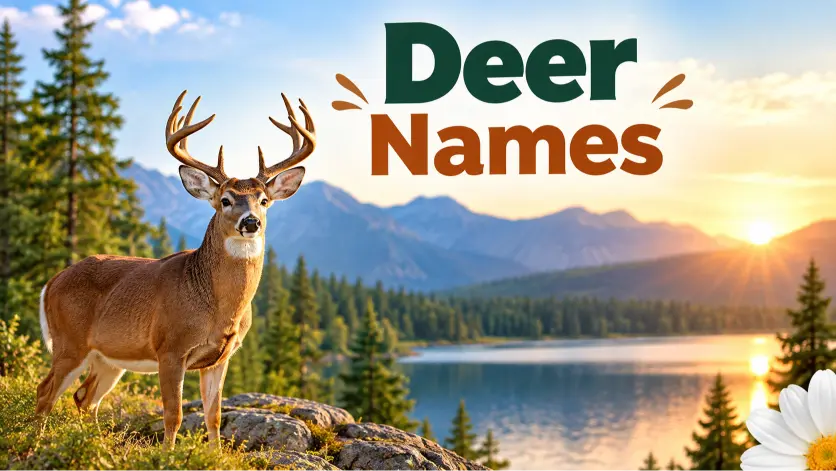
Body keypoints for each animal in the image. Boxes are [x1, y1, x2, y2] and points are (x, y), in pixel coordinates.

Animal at [34, 90, 316, 449]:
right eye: (225, 200)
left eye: (264, 200)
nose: (250, 221)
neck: (219, 309)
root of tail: (51, 283)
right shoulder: (170, 347)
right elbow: (174, 415)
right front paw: (168, 454)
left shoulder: (221, 358)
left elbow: (214, 417)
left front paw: (214, 455)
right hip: (69, 340)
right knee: (46, 392)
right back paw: (36, 443)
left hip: (107, 358)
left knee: (85, 398)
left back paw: (93, 443)